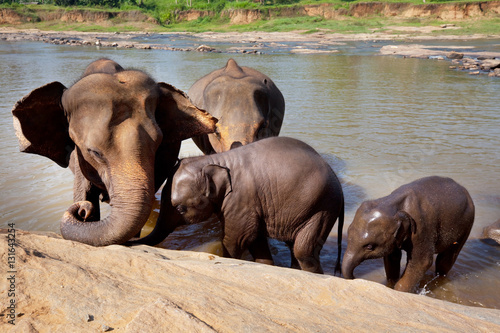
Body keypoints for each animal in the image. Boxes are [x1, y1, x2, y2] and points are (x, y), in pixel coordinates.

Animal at [12, 58, 217, 246]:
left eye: (158, 143)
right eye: (94, 152)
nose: (82, 211)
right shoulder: (79, 158)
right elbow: (84, 193)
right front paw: (88, 206)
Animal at [164, 136, 344, 274]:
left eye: (180, 208)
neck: (214, 159)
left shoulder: (240, 201)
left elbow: (236, 239)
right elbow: (255, 238)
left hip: (323, 208)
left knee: (303, 251)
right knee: (294, 246)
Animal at [342, 175, 474, 292]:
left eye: (369, 246)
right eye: (348, 234)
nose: (355, 277)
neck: (391, 202)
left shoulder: (422, 228)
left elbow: (421, 262)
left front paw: (399, 290)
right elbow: (392, 258)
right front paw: (390, 285)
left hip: (467, 224)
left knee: (446, 259)